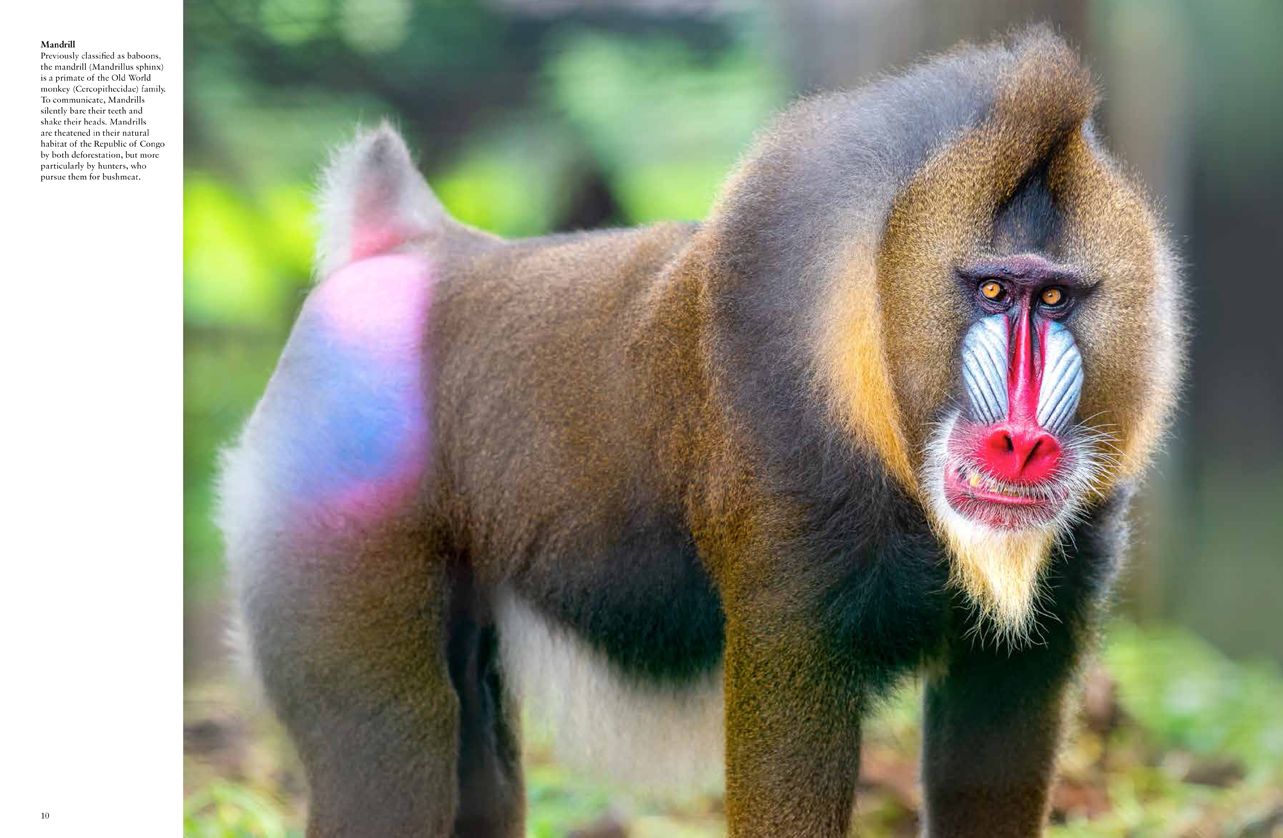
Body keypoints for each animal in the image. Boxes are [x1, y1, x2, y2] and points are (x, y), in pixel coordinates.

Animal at [218, 27, 1184, 838]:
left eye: (1052, 298)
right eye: (990, 291)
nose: (1020, 441)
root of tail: (399, 248)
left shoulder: (1038, 632)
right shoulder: (790, 602)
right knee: (392, 741)